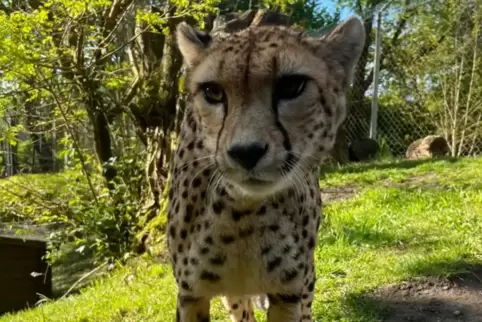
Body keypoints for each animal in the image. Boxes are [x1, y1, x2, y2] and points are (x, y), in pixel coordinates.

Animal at [168, 15, 364, 322]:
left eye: (292, 86)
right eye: (212, 92)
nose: (246, 152)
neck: (243, 214)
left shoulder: (289, 292)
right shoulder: (191, 293)